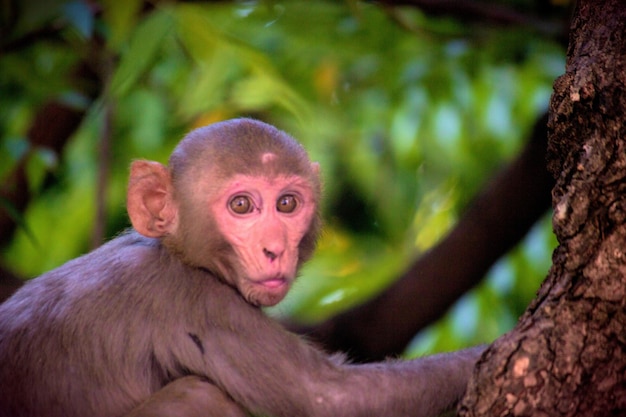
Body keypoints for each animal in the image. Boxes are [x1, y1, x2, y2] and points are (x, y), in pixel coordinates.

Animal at [0, 116, 482, 416]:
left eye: (287, 204)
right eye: (242, 206)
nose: (274, 248)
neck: (173, 252)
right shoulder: (190, 301)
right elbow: (332, 398)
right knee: (200, 396)